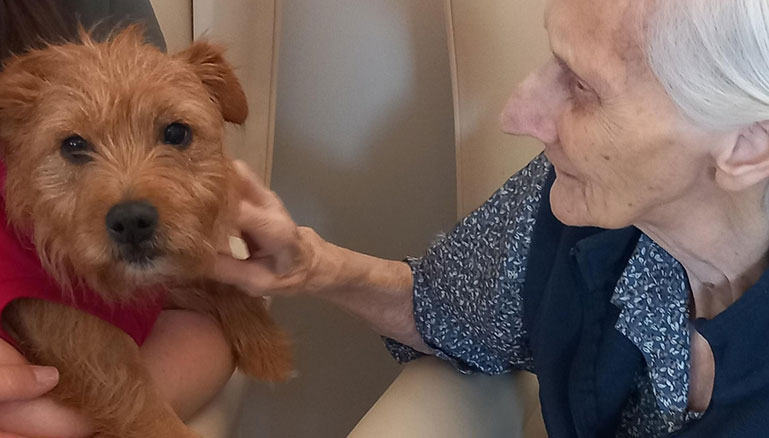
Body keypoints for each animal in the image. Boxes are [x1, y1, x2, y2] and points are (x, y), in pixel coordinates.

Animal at [0, 27, 292, 438]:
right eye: (73, 145)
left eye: (176, 132)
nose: (131, 221)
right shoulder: (88, 349)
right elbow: (145, 410)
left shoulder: (155, 285)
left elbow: (218, 283)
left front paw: (268, 348)